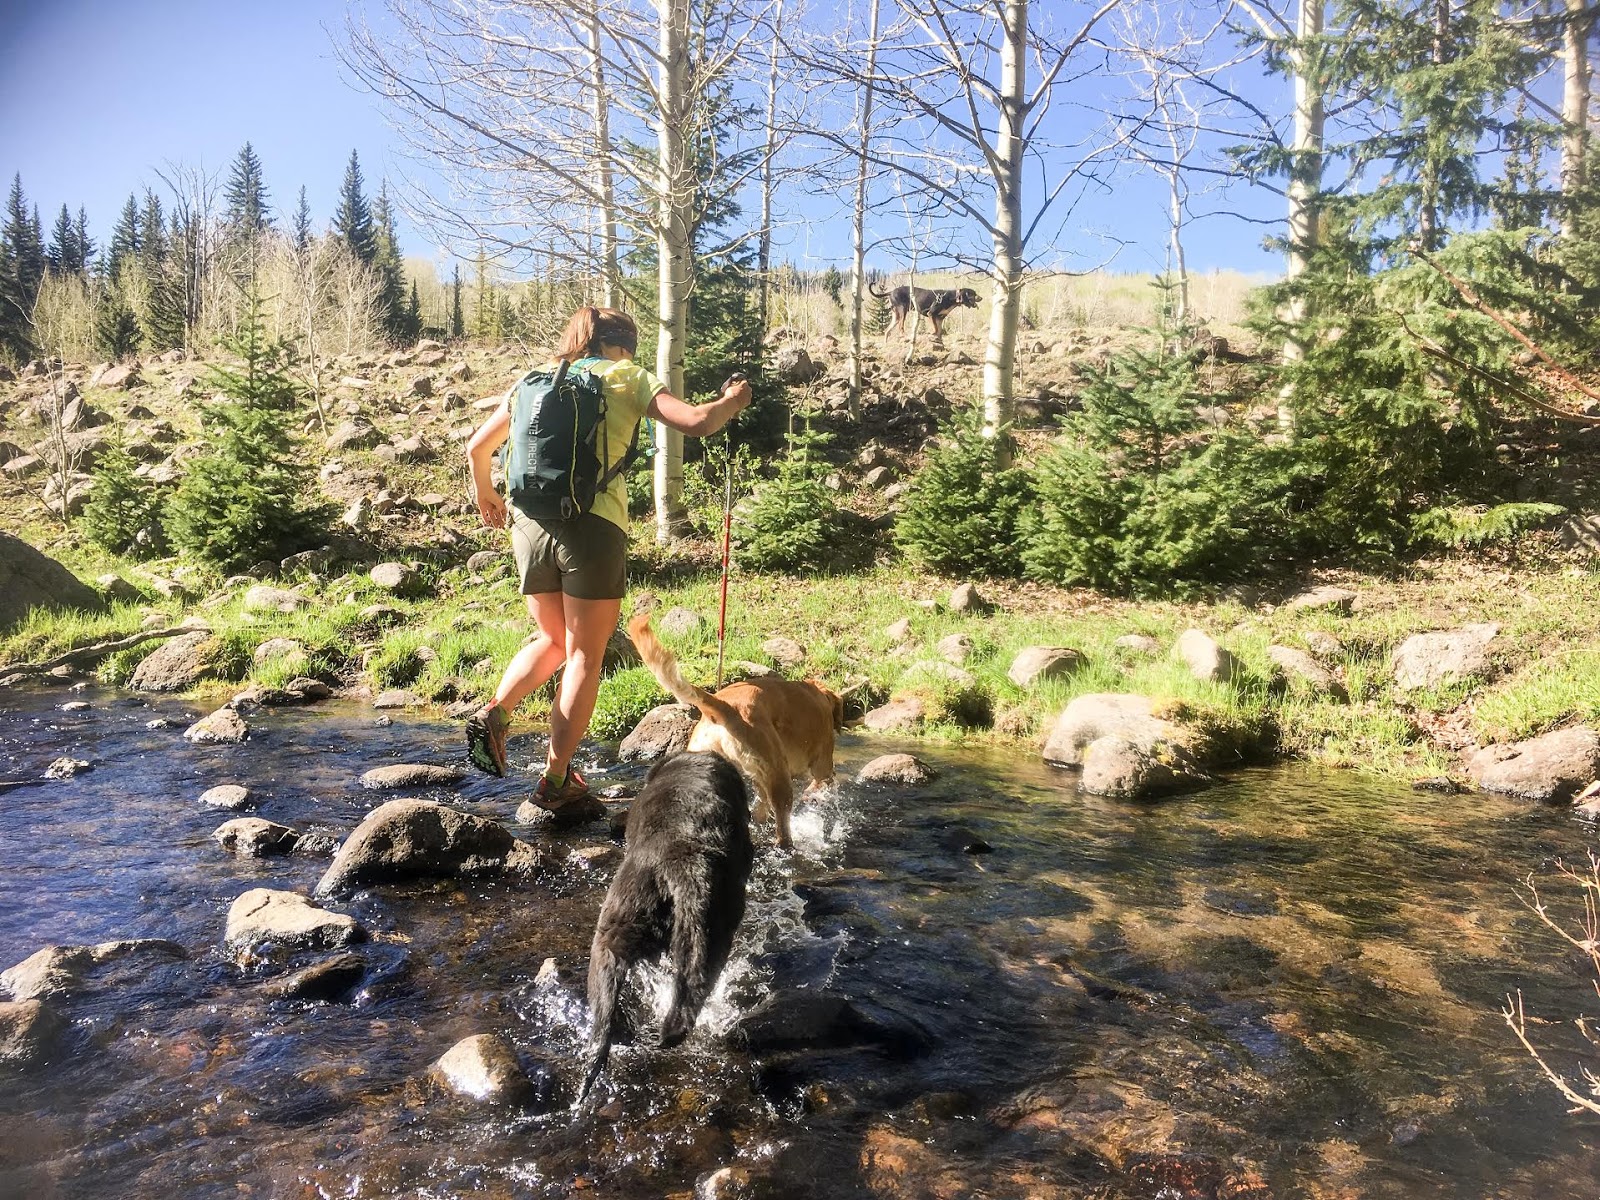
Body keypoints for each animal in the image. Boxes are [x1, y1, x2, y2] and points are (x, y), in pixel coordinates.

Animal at [627, 614, 851, 851]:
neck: (818, 695)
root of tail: (725, 707)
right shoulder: (822, 765)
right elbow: (825, 783)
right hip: (779, 776)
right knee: (782, 828)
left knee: (759, 810)